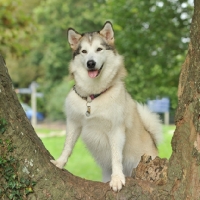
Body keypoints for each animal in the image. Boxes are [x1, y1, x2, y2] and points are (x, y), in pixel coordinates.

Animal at [50, 21, 162, 191]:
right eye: (84, 51)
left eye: (99, 49)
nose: (90, 63)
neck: (92, 97)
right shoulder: (74, 123)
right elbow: (67, 145)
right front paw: (60, 162)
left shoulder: (116, 130)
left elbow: (116, 157)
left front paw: (117, 178)